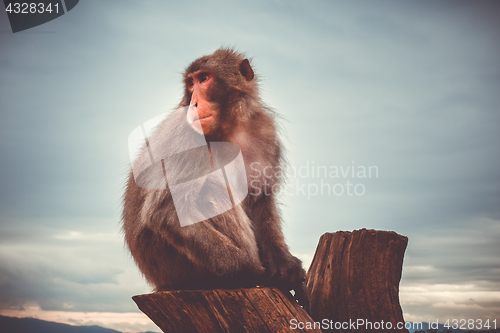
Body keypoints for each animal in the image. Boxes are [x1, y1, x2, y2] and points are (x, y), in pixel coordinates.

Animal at [122, 48, 308, 308]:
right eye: (190, 83)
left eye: (204, 79)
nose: (193, 102)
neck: (230, 127)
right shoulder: (187, 136)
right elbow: (167, 213)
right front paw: (255, 273)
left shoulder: (265, 131)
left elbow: (261, 199)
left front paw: (287, 267)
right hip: (180, 270)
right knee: (212, 188)